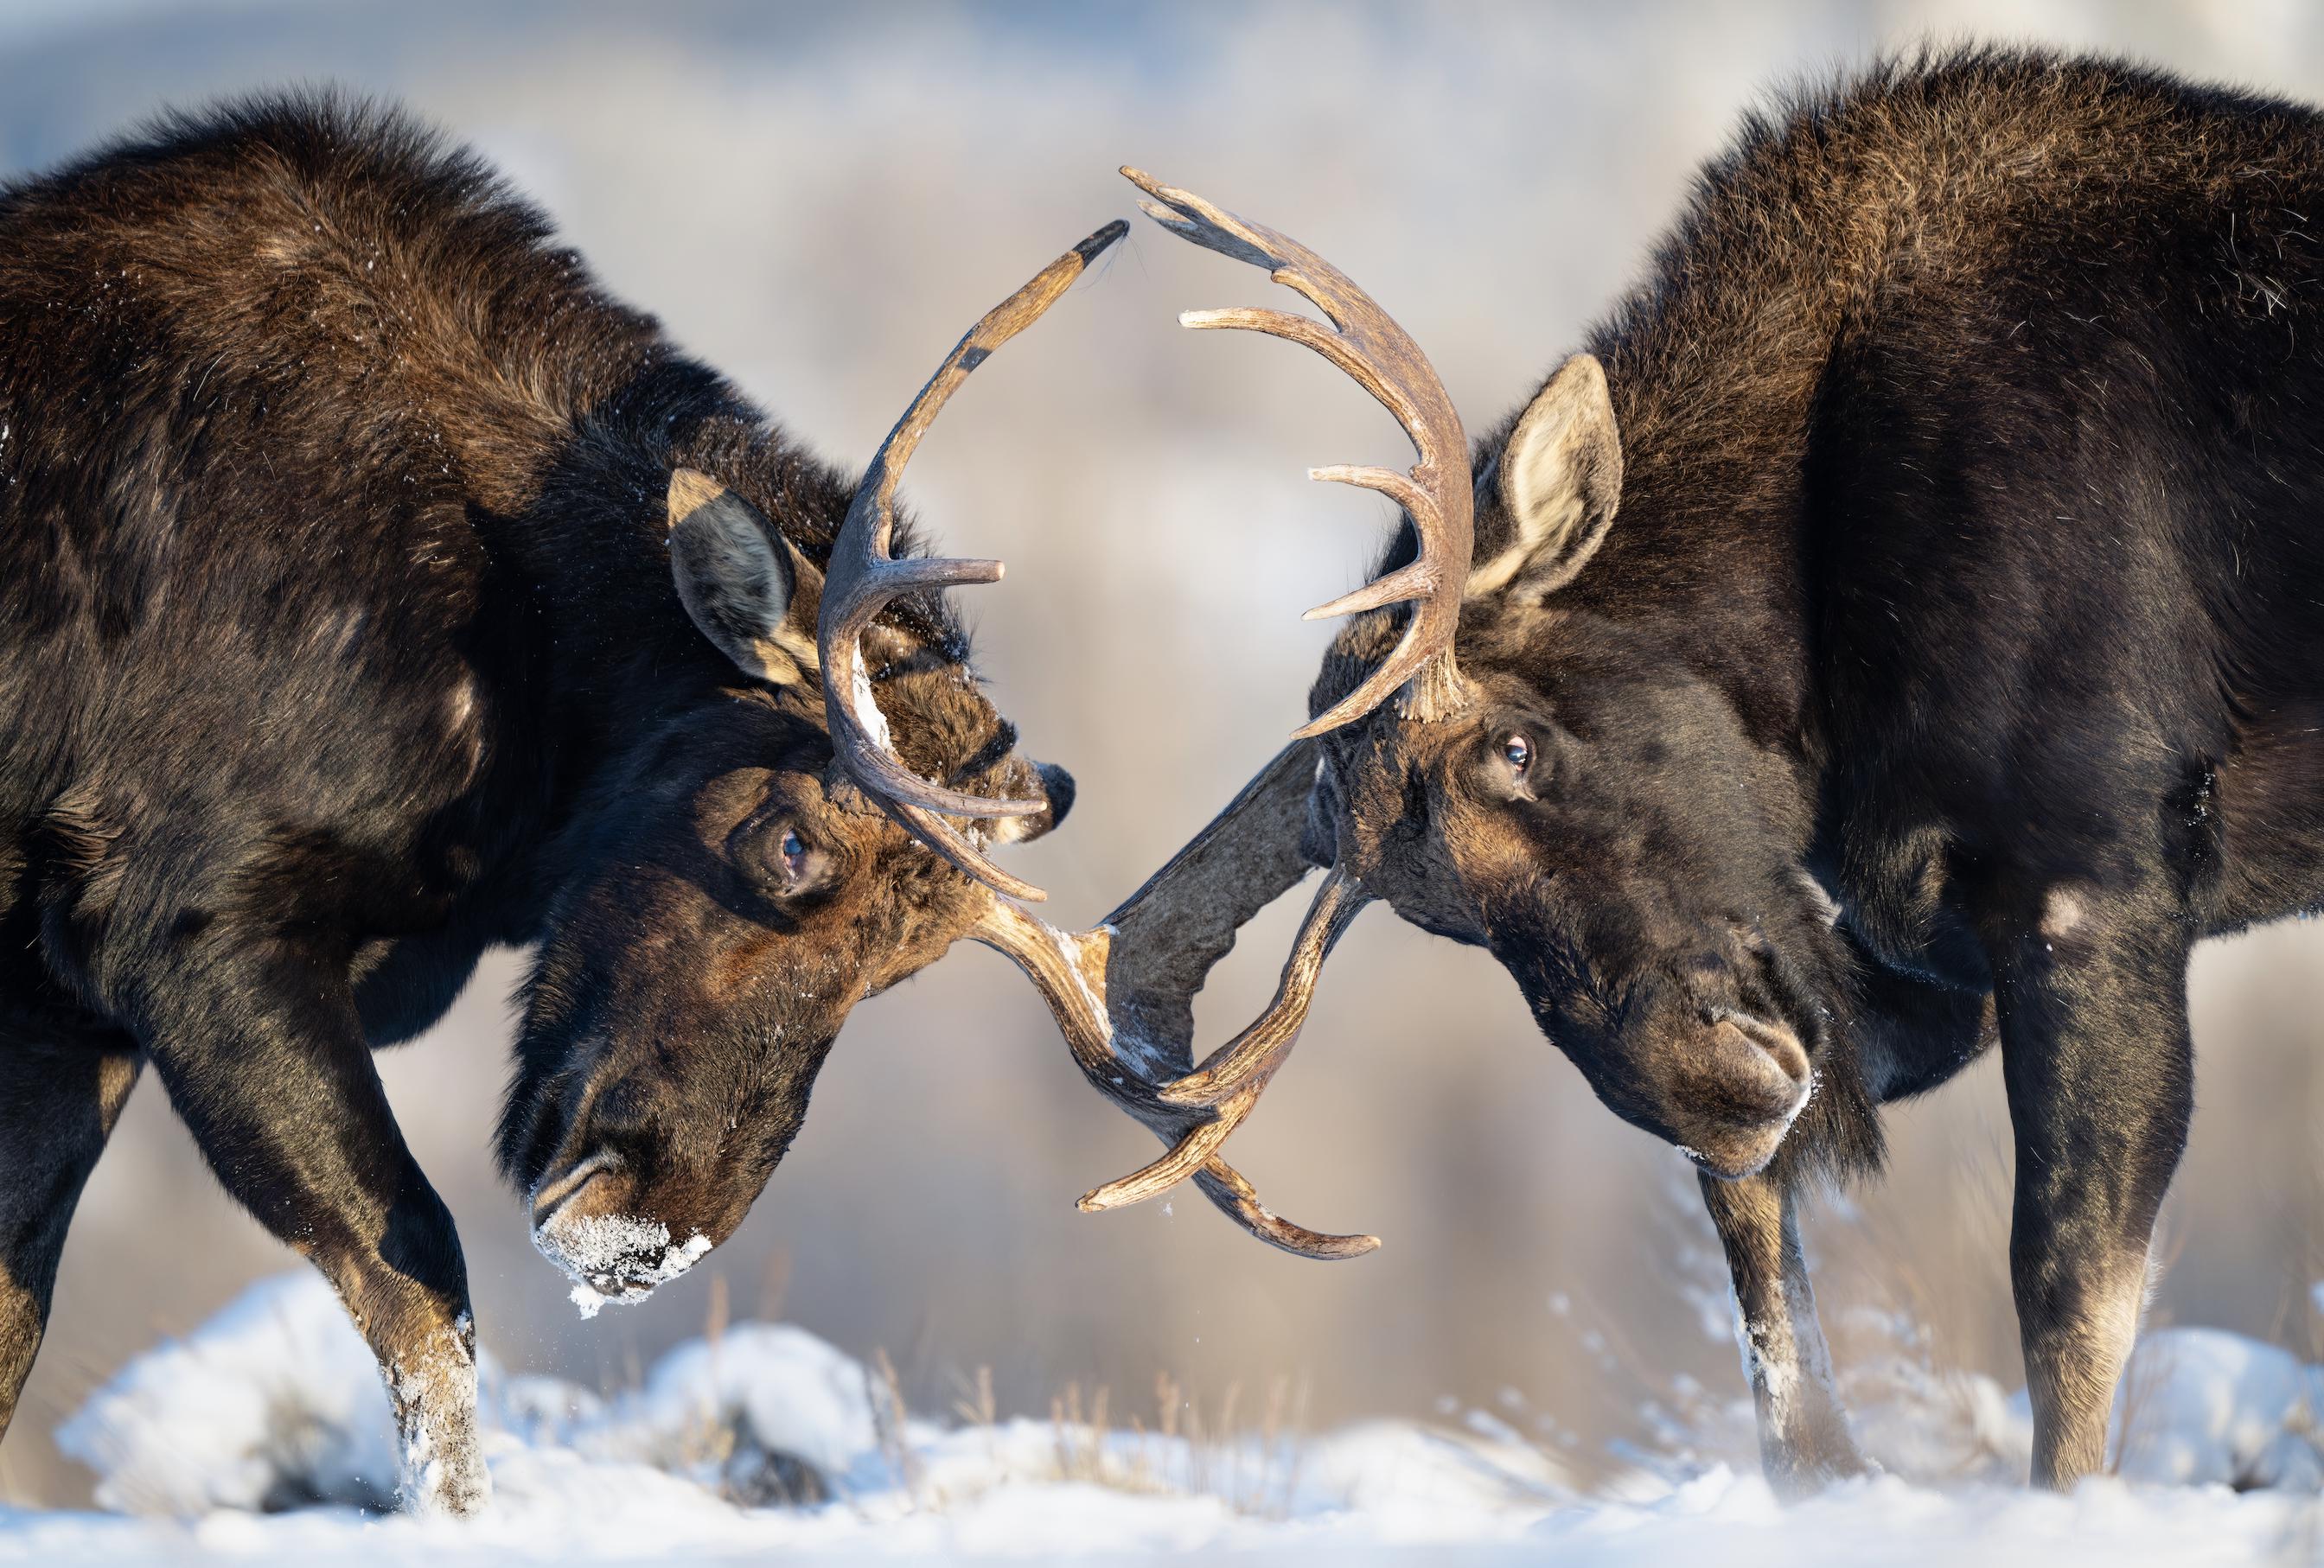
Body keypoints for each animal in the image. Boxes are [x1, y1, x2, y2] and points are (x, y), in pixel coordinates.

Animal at [0, 94, 1180, 1515]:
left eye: (903, 968)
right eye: (790, 839)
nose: (645, 1235)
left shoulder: (62, 1003)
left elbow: (16, 1319)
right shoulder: (186, 929)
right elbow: (421, 1283)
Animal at [1014, 50, 2324, 1495]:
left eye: (1516, 744)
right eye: (1433, 911)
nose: (1710, 1088)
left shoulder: (2091, 883)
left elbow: (2067, 1297)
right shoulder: (1914, 954)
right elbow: (1766, 1300)